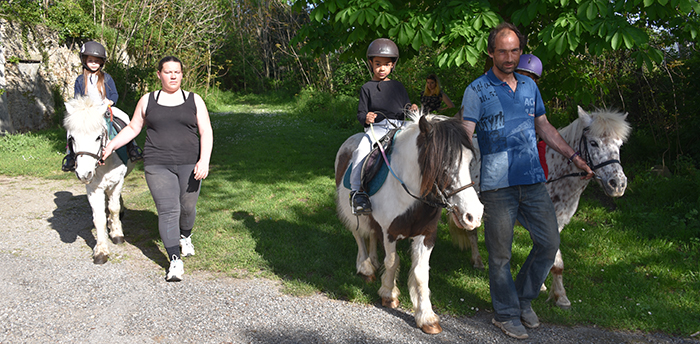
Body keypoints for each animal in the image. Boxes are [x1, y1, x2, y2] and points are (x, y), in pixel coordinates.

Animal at [63, 97, 135, 264]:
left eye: (97, 137)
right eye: (72, 138)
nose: (84, 174)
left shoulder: (117, 182)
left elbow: (114, 208)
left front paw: (117, 234)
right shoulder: (93, 188)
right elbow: (99, 218)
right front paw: (101, 251)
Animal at [334, 112, 482, 334]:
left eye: (469, 161)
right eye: (442, 163)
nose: (474, 215)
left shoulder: (427, 235)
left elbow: (421, 273)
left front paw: (426, 317)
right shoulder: (390, 231)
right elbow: (392, 262)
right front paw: (388, 294)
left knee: (371, 235)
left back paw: (373, 261)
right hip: (352, 213)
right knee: (359, 236)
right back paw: (366, 268)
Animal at [452, 105, 632, 310]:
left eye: (619, 145)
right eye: (594, 143)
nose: (617, 184)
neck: (554, 173)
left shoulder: (554, 223)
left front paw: (545, 287)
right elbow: (556, 261)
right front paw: (560, 296)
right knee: (472, 234)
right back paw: (478, 261)